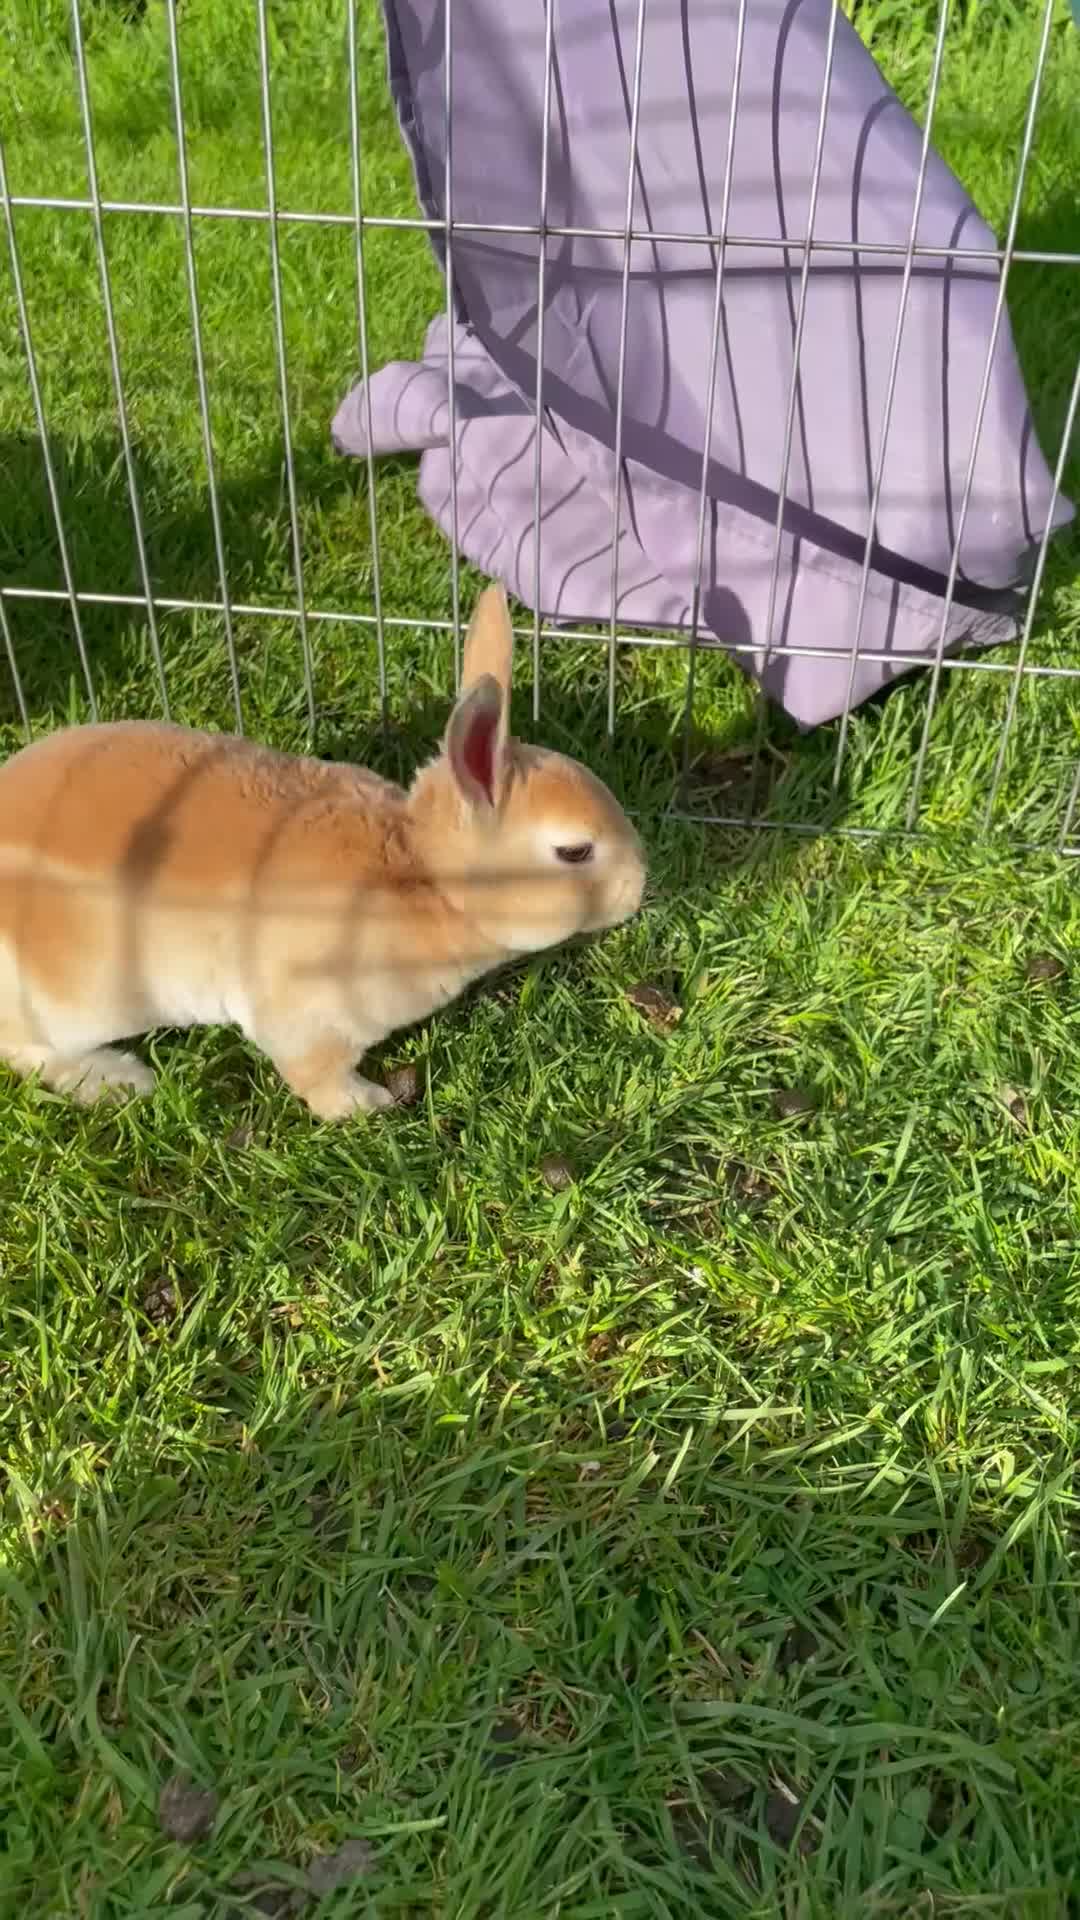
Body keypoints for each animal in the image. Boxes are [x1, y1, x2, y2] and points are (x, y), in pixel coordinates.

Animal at [0, 583, 646, 1120]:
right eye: (575, 852)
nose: (640, 887)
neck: (426, 875)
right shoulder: (307, 1015)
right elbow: (314, 1075)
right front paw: (367, 1105)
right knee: (28, 1052)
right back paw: (118, 1080)